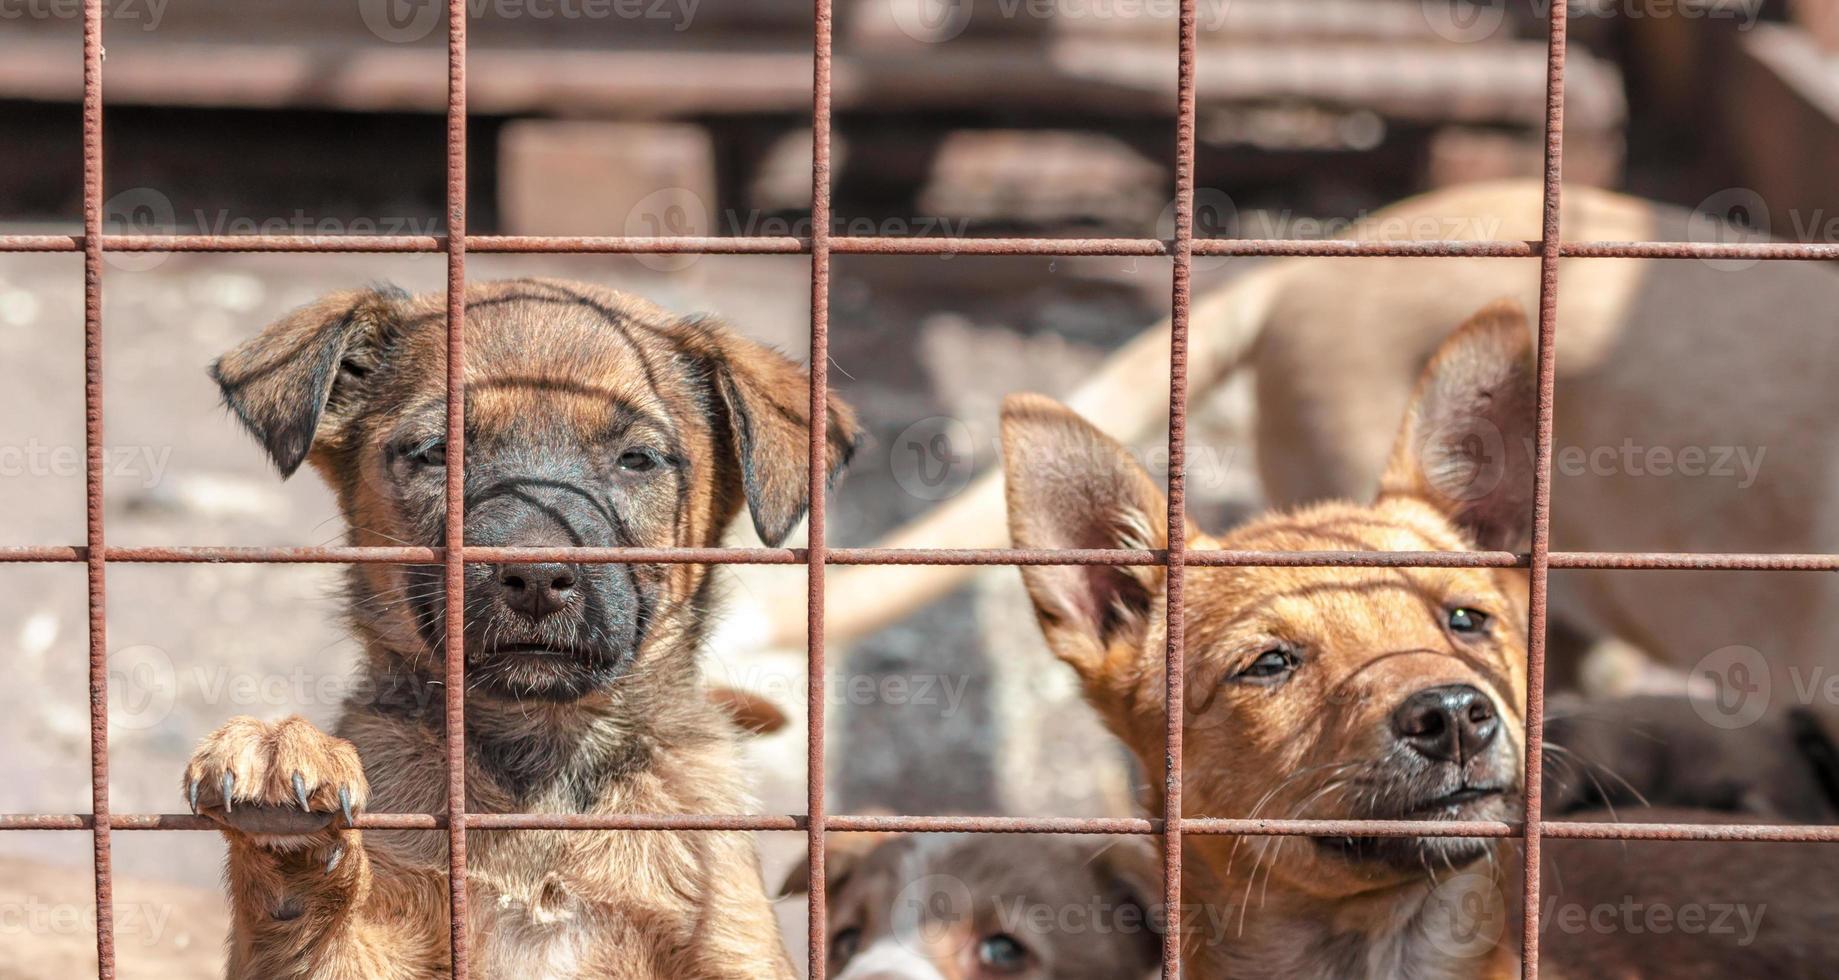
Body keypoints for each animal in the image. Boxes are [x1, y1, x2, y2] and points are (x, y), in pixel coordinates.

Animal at [179, 277, 853, 978]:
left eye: (637, 459)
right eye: (438, 452)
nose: (535, 577)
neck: (543, 772)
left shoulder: (734, 940)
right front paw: (279, 774)